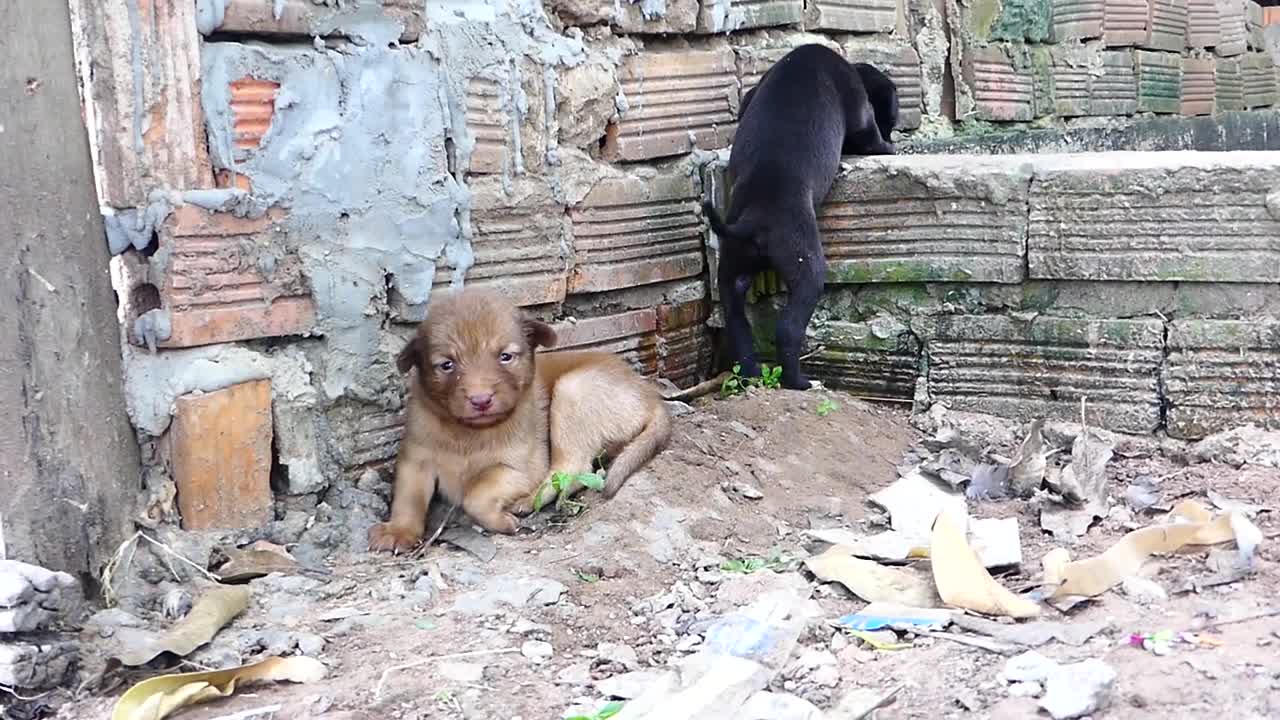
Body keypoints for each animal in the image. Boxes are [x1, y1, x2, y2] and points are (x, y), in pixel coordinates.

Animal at [368, 285, 670, 548]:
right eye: (446, 365)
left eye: (505, 357)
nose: (481, 400)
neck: (467, 434)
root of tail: (651, 397)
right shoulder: (415, 459)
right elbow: (408, 498)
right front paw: (400, 531)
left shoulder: (521, 468)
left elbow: (476, 493)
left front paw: (500, 521)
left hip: (573, 390)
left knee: (573, 467)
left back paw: (530, 499)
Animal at [701, 45, 901, 389]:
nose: (894, 130)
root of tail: (751, 222)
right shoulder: (860, 112)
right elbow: (869, 135)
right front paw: (888, 147)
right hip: (805, 262)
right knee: (788, 329)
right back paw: (800, 382)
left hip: (732, 269)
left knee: (738, 323)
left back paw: (751, 374)